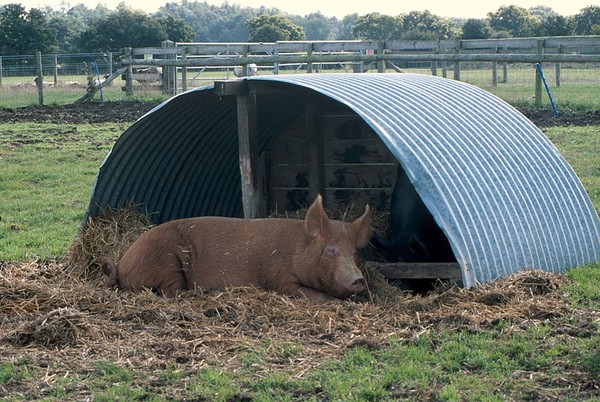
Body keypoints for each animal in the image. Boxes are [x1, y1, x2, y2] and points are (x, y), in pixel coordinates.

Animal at [103, 195, 370, 302]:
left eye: (354, 253)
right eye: (331, 250)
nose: (358, 279)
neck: (297, 250)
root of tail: (122, 262)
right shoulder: (278, 279)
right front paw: (330, 301)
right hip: (166, 260)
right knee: (172, 292)